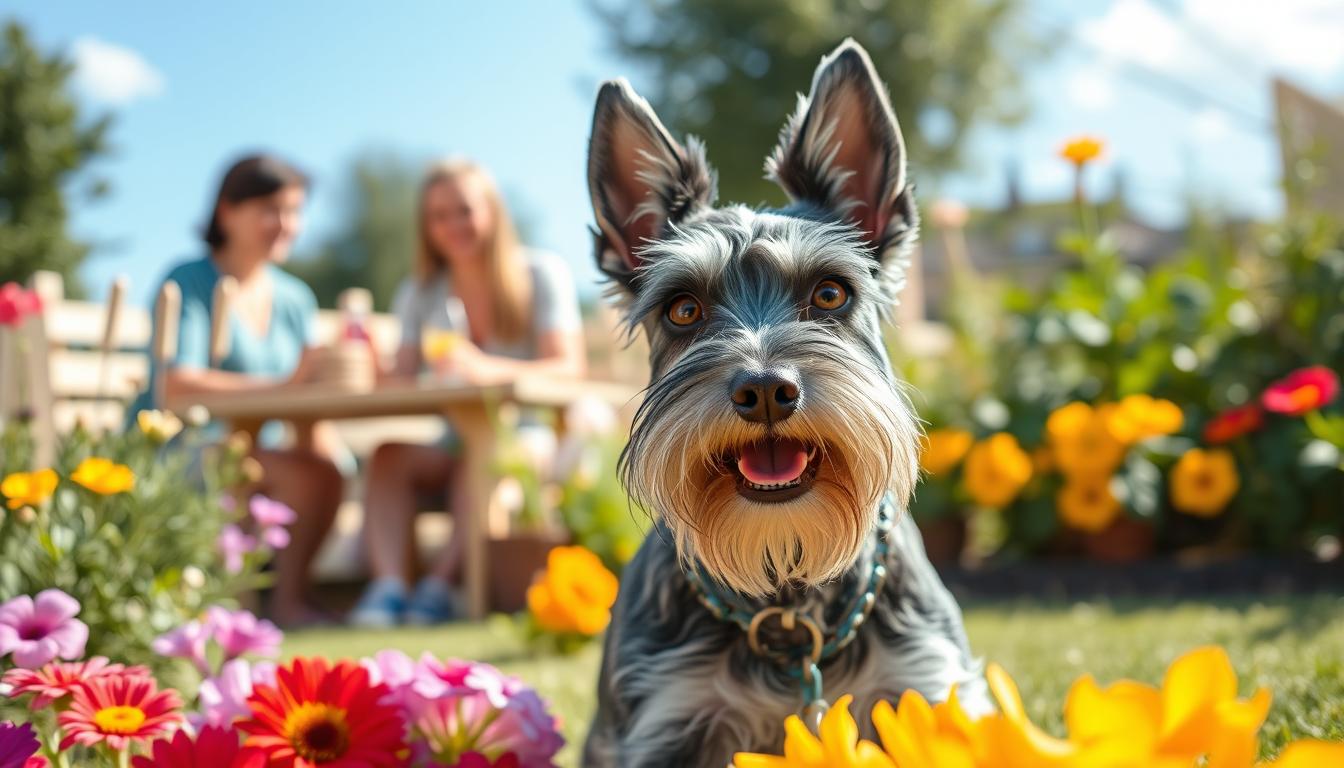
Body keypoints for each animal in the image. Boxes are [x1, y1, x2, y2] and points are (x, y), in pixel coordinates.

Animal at [585, 37, 989, 768]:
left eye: (830, 293)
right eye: (682, 308)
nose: (767, 388)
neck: (788, 595)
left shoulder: (923, 688)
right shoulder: (670, 721)